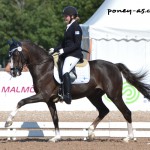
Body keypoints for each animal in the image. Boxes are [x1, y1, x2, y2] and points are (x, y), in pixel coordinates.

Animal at [5, 39, 150, 142]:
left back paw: (128, 137)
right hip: (93, 96)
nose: (13, 72)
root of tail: (114, 65)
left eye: (16, 54)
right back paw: (90, 132)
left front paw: (8, 121)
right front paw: (56, 137)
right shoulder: (49, 100)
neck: (43, 67)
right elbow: (55, 118)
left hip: (114, 95)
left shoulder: (43, 95)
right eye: (9, 55)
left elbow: (21, 101)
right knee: (104, 110)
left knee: (126, 112)